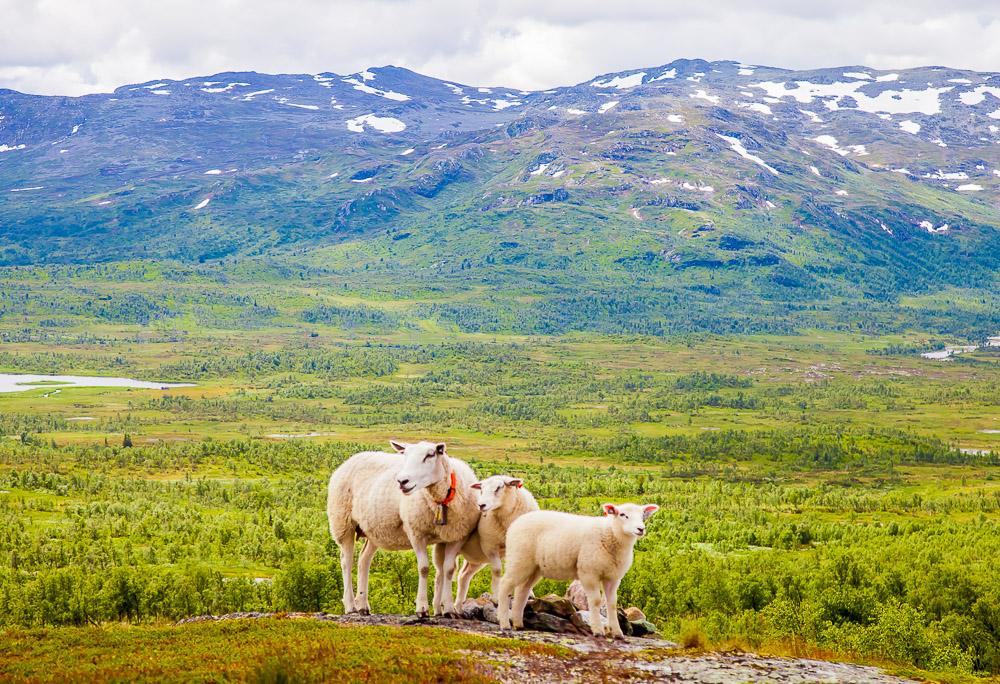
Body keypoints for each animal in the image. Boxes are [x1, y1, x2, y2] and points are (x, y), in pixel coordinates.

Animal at [328, 440, 480, 616]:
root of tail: (350, 459)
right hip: (343, 522)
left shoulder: (457, 536)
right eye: (405, 455)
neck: (440, 500)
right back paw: (350, 605)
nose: (402, 481)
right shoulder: (416, 532)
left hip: (374, 529)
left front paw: (448, 609)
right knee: (346, 561)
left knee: (363, 560)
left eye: (430, 455)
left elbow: (449, 569)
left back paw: (363, 605)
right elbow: (424, 568)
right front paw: (422, 608)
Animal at [498, 500, 656, 640]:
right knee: (505, 585)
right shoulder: (588, 572)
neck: (610, 534)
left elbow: (611, 604)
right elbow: (596, 601)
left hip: (533, 567)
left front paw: (617, 633)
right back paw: (504, 623)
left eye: (642, 515)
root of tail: (516, 523)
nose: (641, 529)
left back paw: (518, 623)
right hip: (519, 558)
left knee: (522, 591)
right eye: (623, 514)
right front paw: (598, 630)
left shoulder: (613, 577)